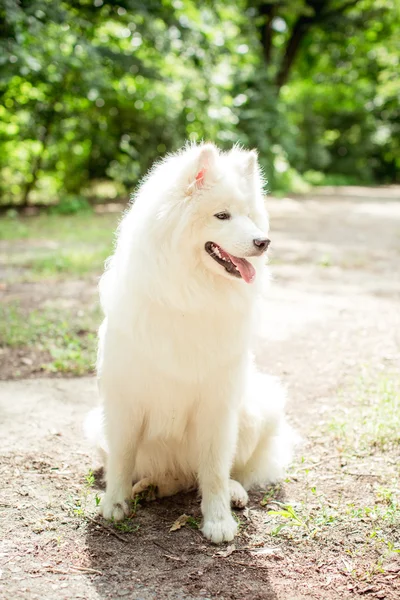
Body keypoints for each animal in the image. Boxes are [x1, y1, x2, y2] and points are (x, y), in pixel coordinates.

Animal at [86, 142, 294, 544]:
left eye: (250, 216)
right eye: (222, 215)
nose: (263, 242)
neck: (190, 296)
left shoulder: (218, 404)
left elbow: (213, 469)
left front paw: (218, 521)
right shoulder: (124, 401)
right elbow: (122, 459)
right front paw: (114, 505)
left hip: (256, 410)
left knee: (225, 472)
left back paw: (233, 493)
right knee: (169, 476)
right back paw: (148, 488)